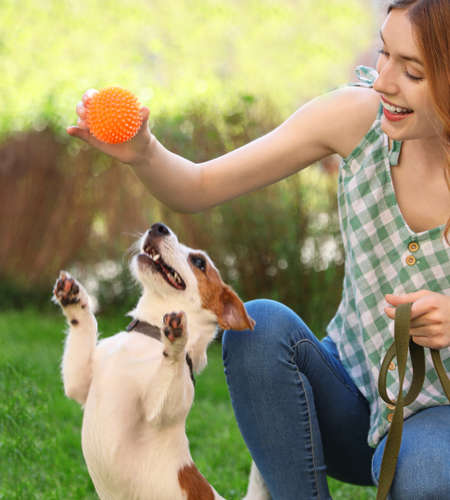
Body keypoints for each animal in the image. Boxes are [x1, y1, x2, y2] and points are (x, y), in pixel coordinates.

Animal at [53, 223, 255, 500]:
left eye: (199, 262)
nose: (158, 227)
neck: (148, 335)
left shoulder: (159, 411)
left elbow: (171, 369)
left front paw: (178, 339)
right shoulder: (79, 384)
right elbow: (85, 325)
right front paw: (74, 300)